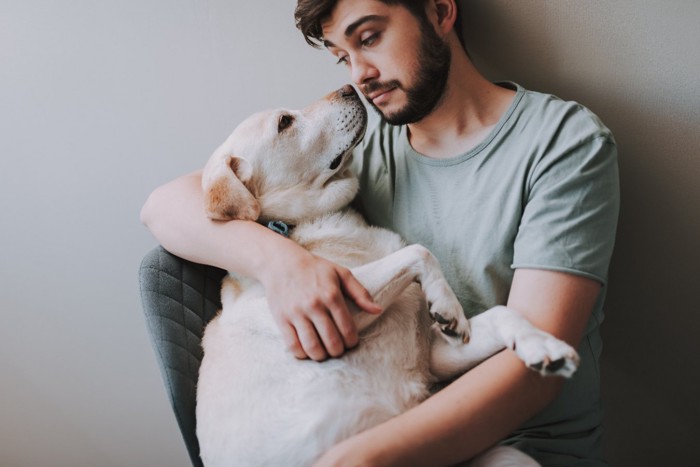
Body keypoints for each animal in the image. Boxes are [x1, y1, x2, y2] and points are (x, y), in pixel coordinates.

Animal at [194, 85, 576, 467]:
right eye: (285, 122)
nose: (349, 87)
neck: (299, 226)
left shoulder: (434, 355)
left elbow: (502, 314)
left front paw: (541, 345)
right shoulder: (336, 311)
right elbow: (419, 252)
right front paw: (447, 303)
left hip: (510, 457)